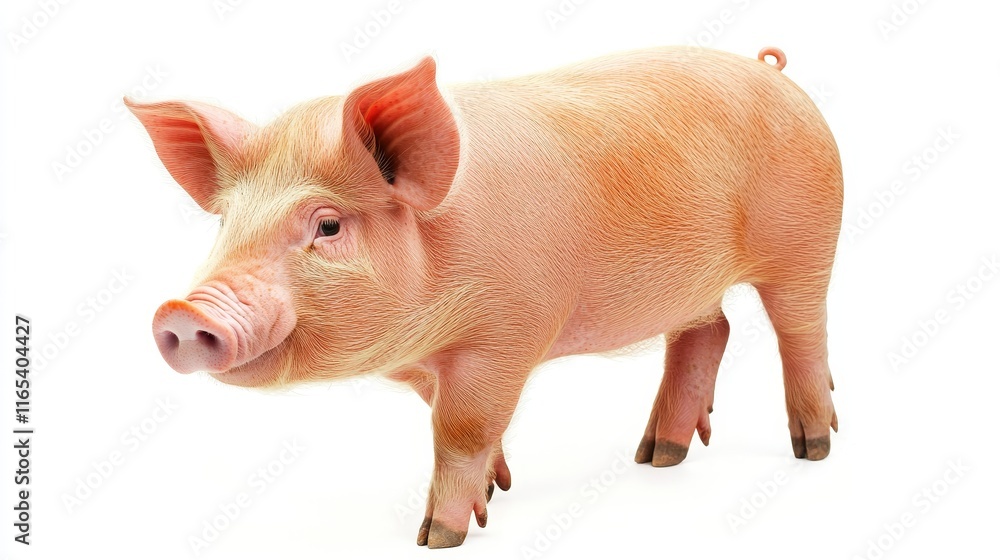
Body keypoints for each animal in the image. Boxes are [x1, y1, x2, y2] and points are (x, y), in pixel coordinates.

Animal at [128, 45, 842, 548]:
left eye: (327, 225)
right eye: (226, 223)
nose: (183, 312)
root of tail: (774, 72)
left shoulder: (506, 336)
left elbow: (461, 425)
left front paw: (437, 537)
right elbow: (450, 419)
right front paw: (499, 488)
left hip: (808, 243)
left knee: (801, 333)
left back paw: (812, 448)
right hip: (691, 284)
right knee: (707, 332)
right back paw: (656, 458)